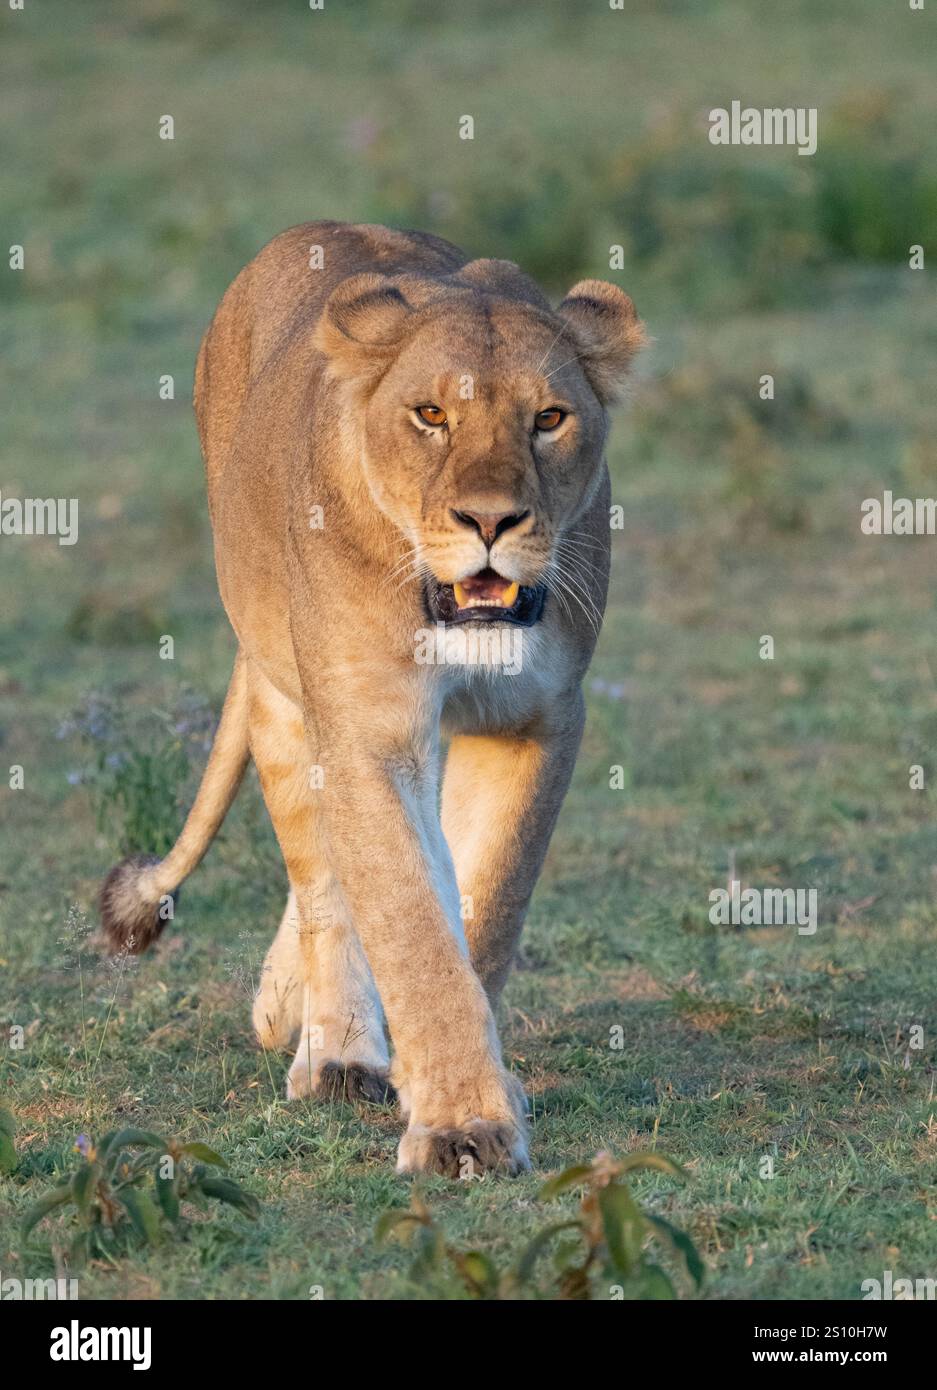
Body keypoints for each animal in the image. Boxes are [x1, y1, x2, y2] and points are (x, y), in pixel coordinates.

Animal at [100, 220, 645, 1177]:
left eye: (548, 419)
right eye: (430, 416)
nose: (490, 522)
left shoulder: (537, 718)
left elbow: (484, 903)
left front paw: (471, 1094)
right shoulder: (367, 726)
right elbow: (407, 919)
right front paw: (462, 1126)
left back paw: (288, 1008)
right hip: (281, 696)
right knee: (321, 880)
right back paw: (335, 1052)